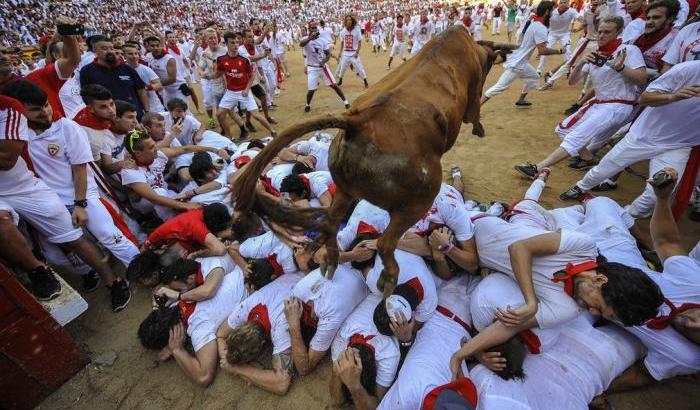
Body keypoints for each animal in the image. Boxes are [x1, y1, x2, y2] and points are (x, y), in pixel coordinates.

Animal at [234, 24, 498, 294]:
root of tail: (356, 123)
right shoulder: (473, 93)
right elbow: (474, 111)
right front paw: (479, 128)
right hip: (417, 202)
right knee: (385, 243)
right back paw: (388, 279)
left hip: (344, 189)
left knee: (331, 223)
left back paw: (329, 261)